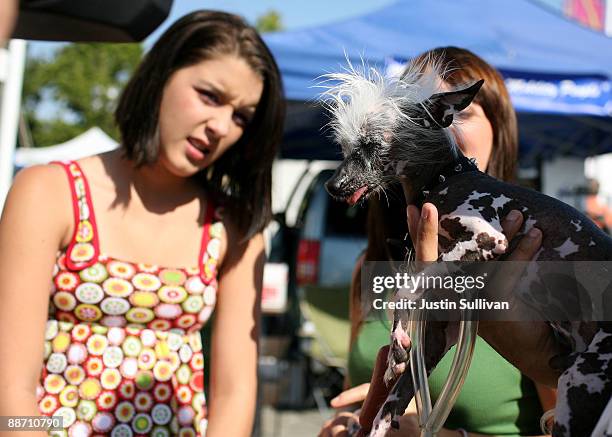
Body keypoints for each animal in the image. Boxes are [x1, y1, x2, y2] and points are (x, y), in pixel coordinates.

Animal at [326, 58, 612, 436]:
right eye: (344, 147)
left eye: (372, 144)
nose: (331, 185)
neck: (445, 179)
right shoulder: (435, 341)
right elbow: (385, 410)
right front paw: (395, 351)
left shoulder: (487, 237)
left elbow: (405, 289)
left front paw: (399, 334)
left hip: (581, 384)